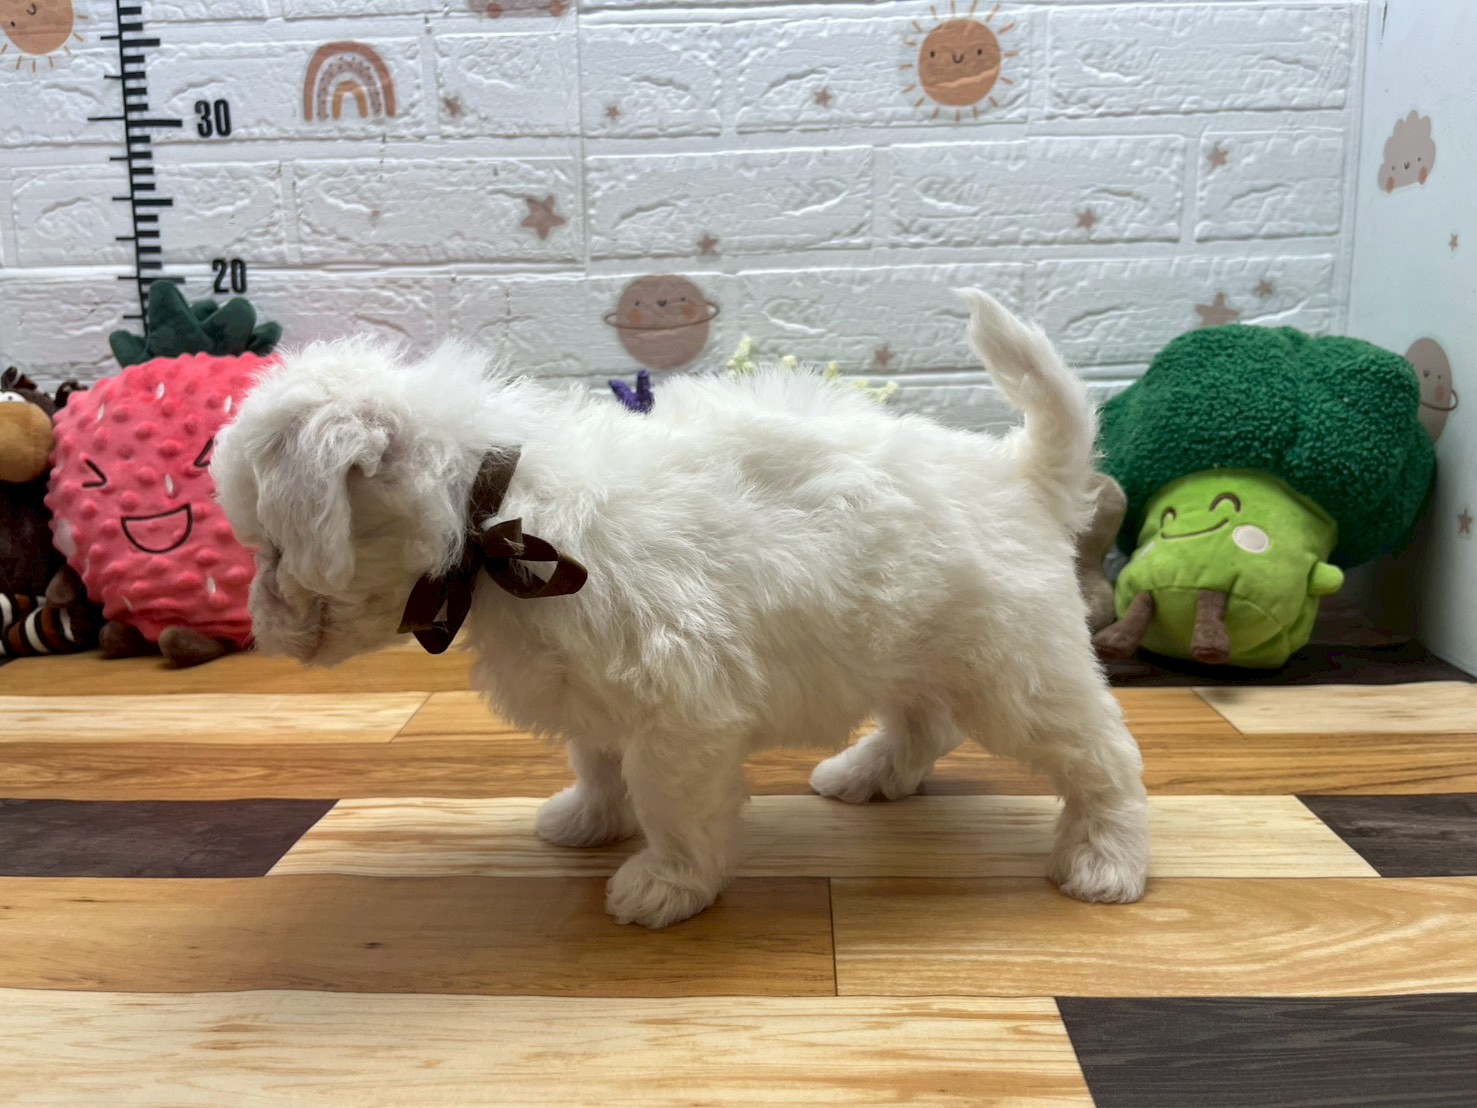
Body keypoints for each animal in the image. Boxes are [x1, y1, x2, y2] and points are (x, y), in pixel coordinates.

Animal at [213, 290, 1150, 929]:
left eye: (271, 547)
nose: (260, 622)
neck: (491, 516)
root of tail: (1019, 473)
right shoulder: (591, 687)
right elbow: (596, 759)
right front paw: (588, 819)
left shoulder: (679, 707)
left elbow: (667, 797)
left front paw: (665, 883)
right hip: (912, 640)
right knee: (923, 722)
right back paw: (868, 772)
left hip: (1015, 671)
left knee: (1101, 755)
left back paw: (1105, 858)